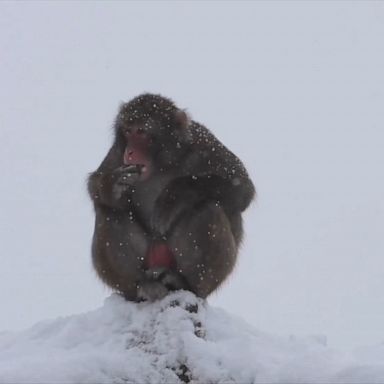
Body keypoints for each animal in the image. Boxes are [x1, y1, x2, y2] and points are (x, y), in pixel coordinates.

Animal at [87, 94, 255, 304]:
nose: (130, 152)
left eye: (141, 131)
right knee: (109, 210)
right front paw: (113, 185)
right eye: (127, 131)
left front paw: (174, 195)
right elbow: (95, 184)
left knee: (209, 207)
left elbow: (242, 187)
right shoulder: (117, 153)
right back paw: (142, 286)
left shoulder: (204, 142)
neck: (162, 162)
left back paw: (184, 283)